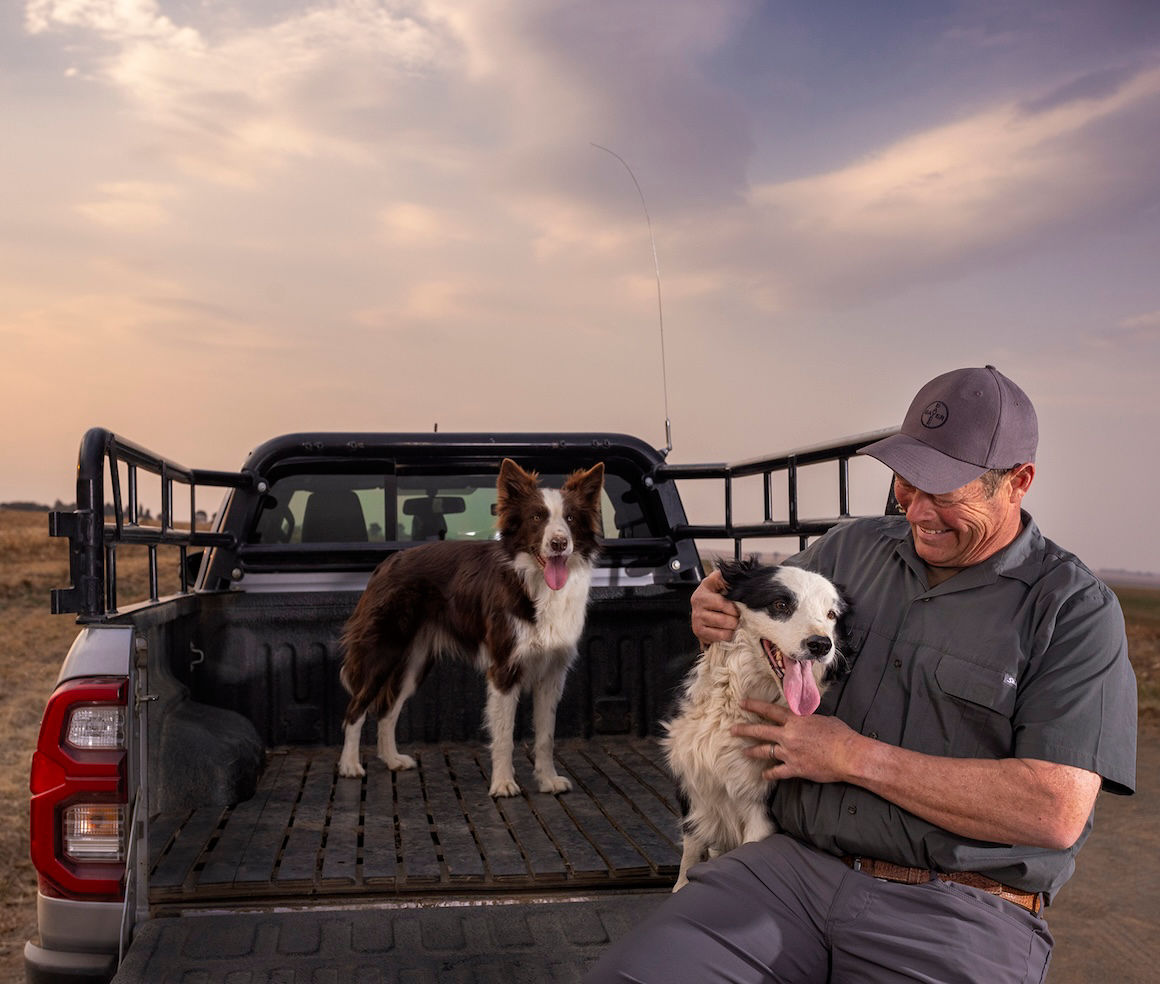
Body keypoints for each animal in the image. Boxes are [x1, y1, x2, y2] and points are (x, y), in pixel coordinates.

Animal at [668, 561, 849, 891]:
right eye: (780, 604)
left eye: (831, 615)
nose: (821, 645)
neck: (735, 704)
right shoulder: (693, 781)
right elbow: (691, 848)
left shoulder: (761, 810)